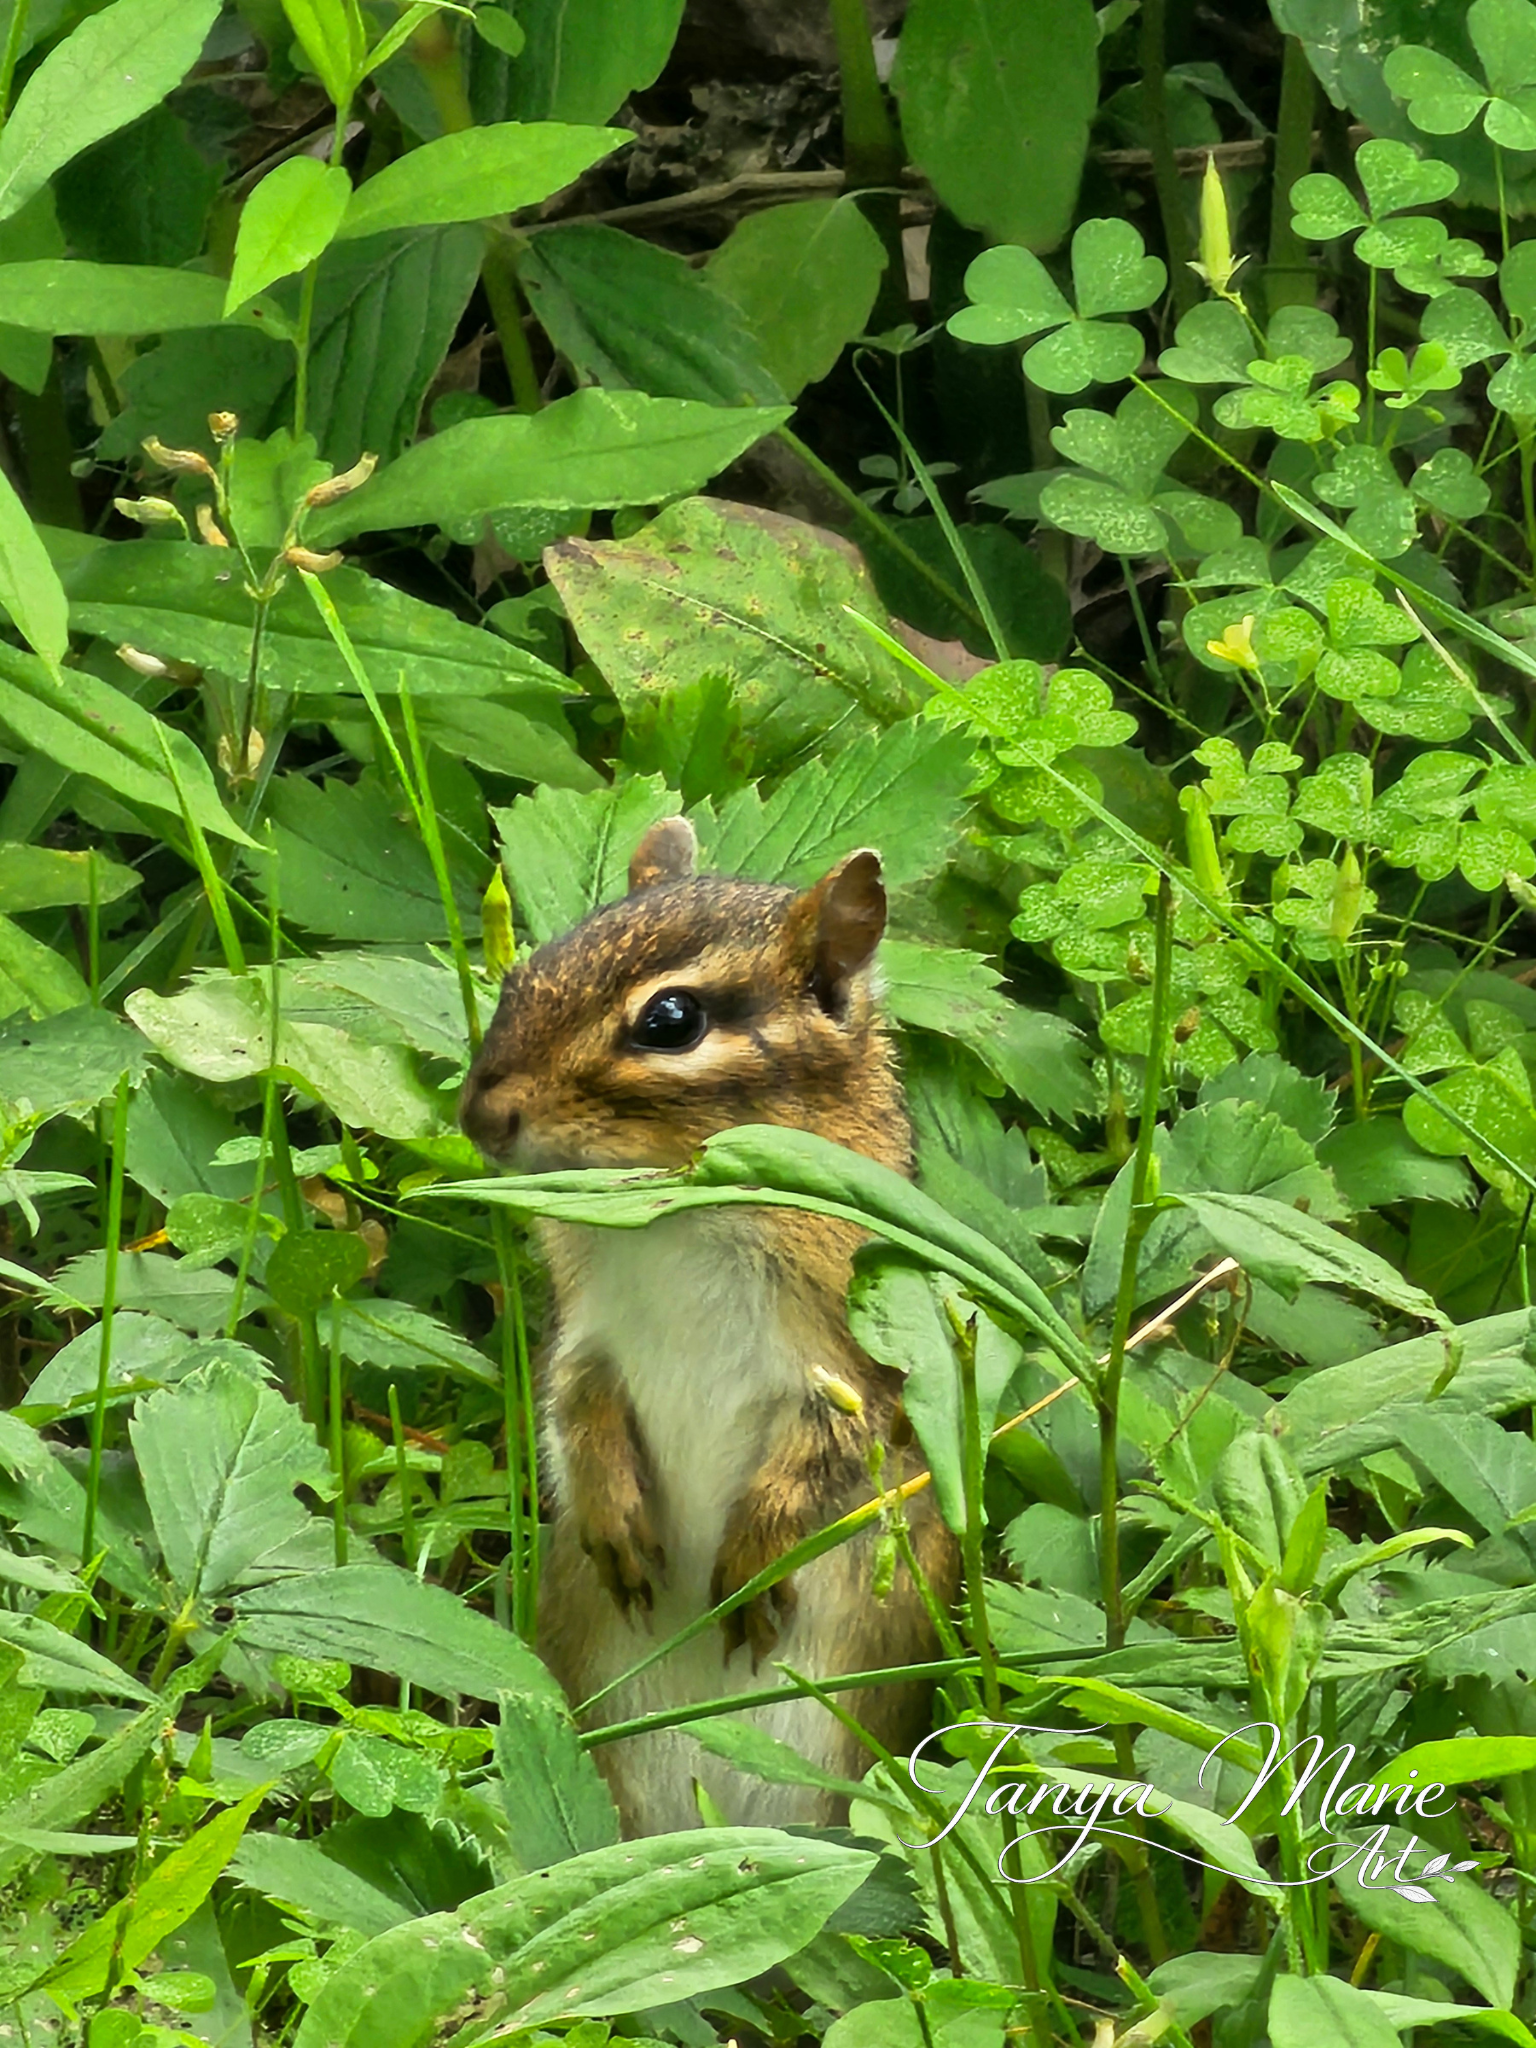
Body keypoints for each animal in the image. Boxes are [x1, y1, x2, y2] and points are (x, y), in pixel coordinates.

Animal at [460, 816, 959, 1836]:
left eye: (671, 1022)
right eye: (526, 971)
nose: (479, 1113)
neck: (673, 1218)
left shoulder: (850, 1364)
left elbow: (823, 1462)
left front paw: (754, 1566)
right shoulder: (585, 1334)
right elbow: (573, 1409)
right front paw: (614, 1519)